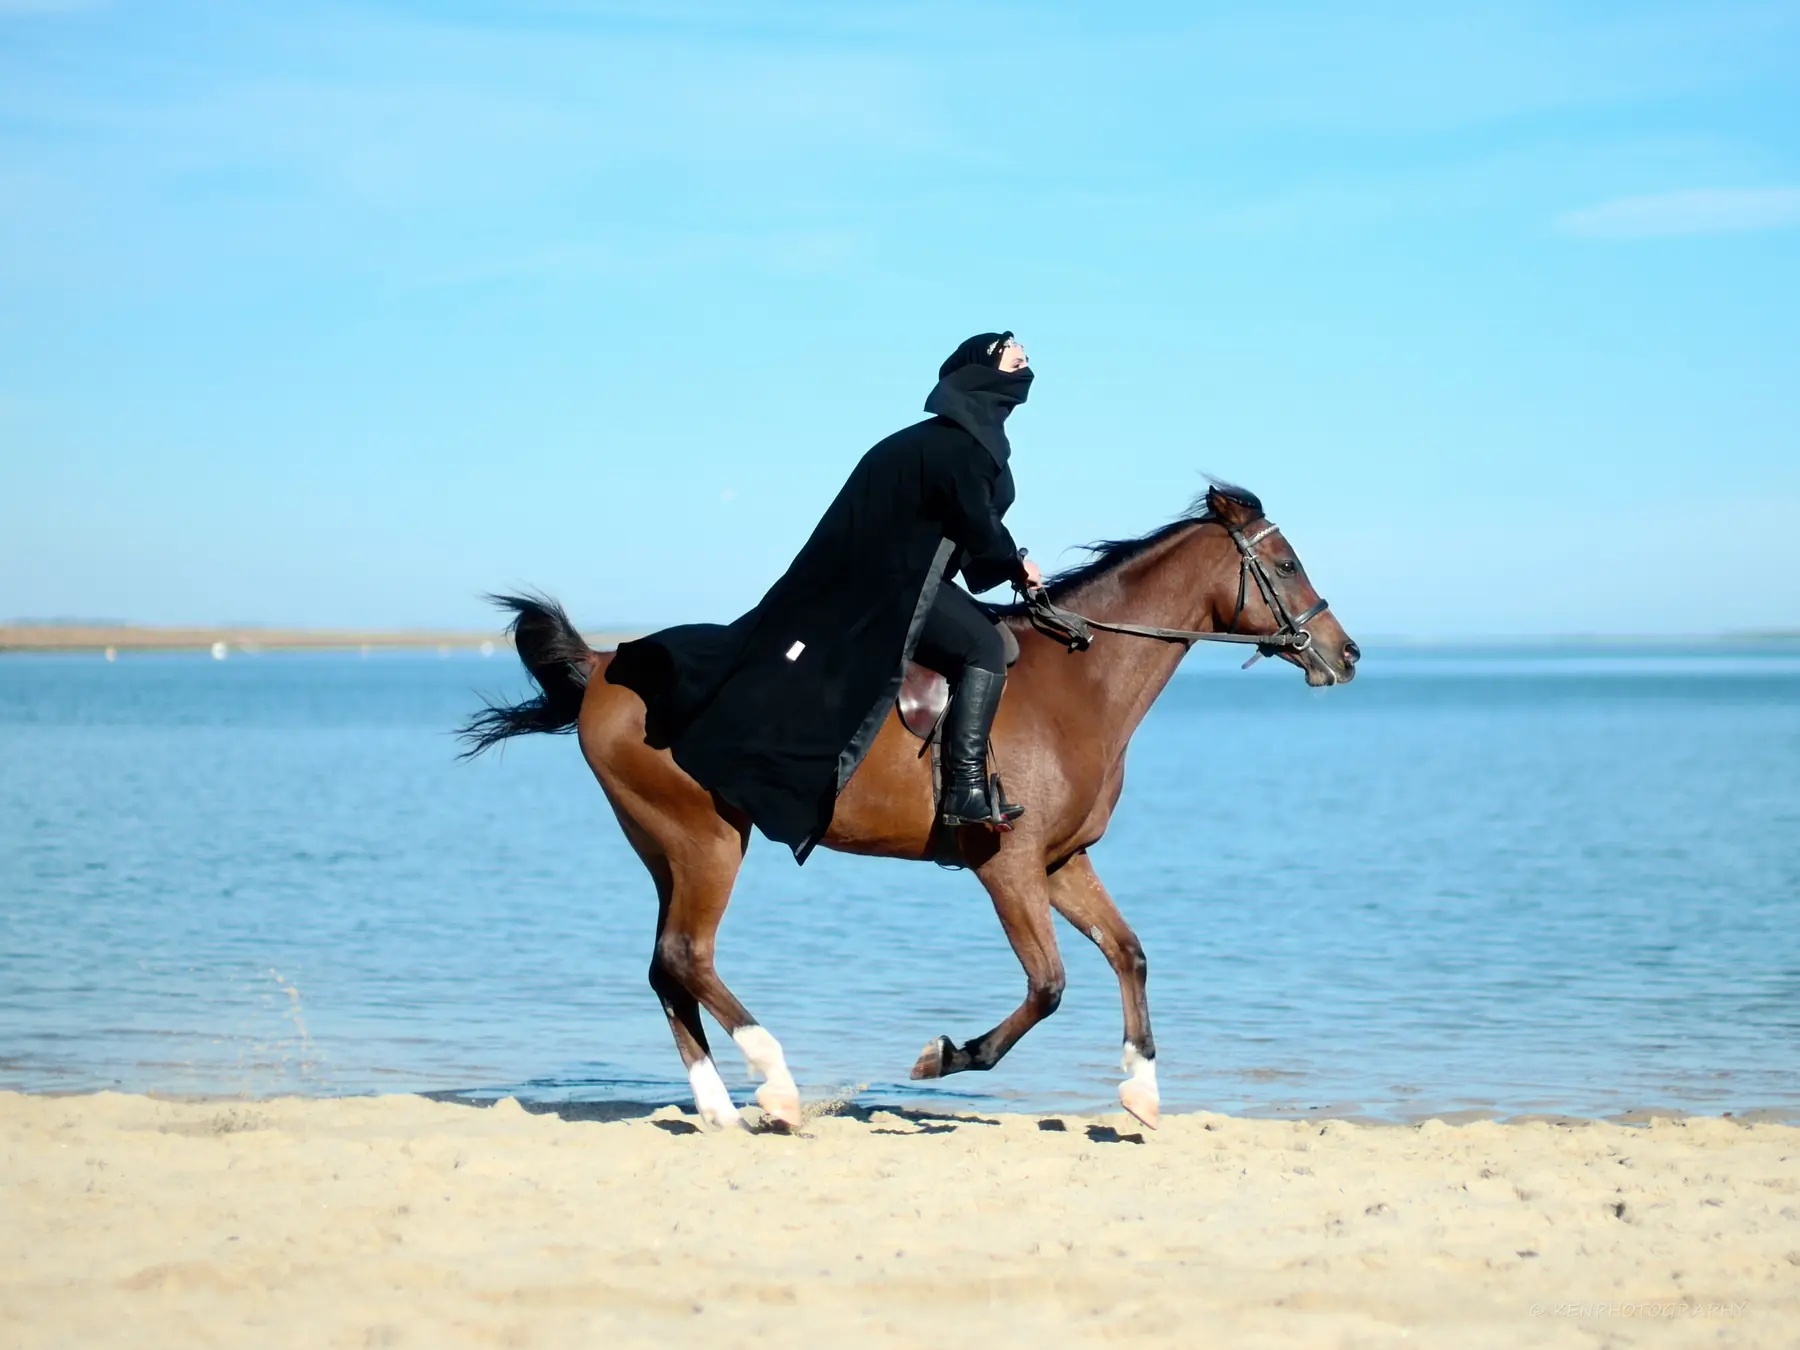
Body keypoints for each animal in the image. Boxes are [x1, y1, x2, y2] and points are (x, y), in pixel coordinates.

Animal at [459, 482, 1358, 1131]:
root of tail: (606, 667)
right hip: (704, 841)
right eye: (1285, 567)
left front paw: (1140, 1088)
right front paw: (943, 1056)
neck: (1082, 683)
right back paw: (776, 1085)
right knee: (687, 955)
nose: (1345, 654)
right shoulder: (1008, 864)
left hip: (664, 849)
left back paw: (719, 1107)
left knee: (665, 965)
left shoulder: (1062, 862)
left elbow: (1129, 954)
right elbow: (1048, 986)